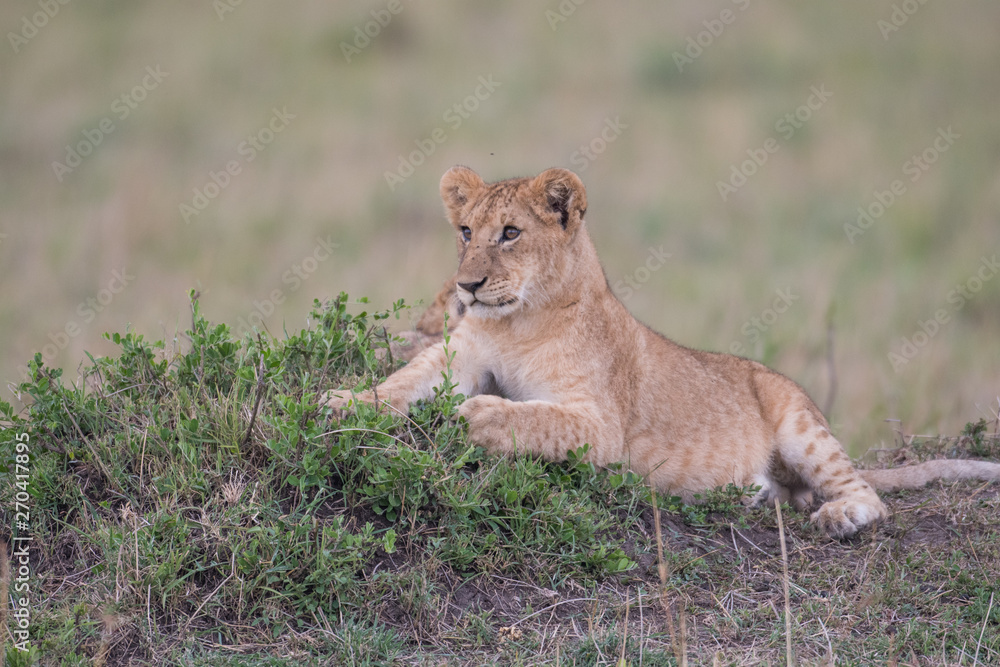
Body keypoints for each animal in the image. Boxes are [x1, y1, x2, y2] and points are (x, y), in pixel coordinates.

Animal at [325, 166, 1000, 538]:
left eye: (511, 233)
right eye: (466, 232)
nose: (466, 285)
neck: (516, 321)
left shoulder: (600, 427)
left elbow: (530, 415)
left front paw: (475, 415)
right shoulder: (456, 358)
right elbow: (401, 384)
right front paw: (341, 401)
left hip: (803, 426)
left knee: (865, 493)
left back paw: (839, 518)